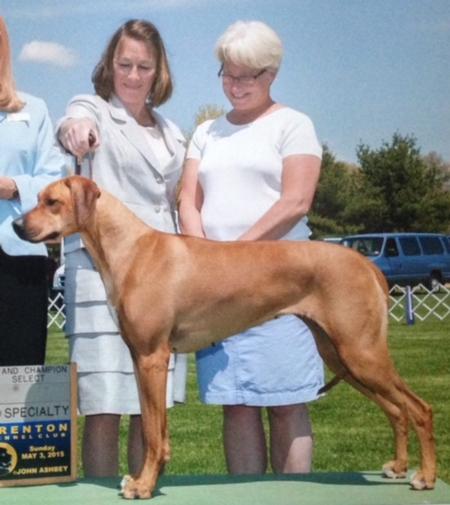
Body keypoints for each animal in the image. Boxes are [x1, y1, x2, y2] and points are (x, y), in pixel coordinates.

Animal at [13, 176, 436, 496]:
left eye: (51, 202)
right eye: (37, 199)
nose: (17, 226)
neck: (131, 248)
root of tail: (365, 263)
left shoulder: (152, 357)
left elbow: (151, 432)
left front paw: (144, 485)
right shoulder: (141, 359)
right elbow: (156, 428)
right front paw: (150, 478)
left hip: (361, 353)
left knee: (419, 409)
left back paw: (426, 476)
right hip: (341, 355)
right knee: (397, 410)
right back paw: (399, 466)